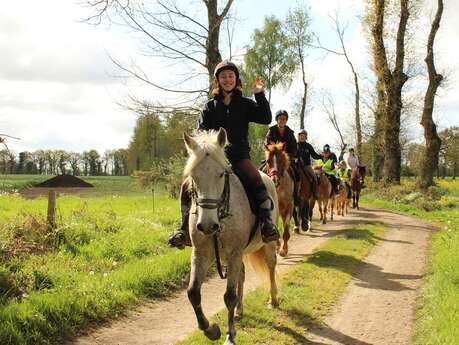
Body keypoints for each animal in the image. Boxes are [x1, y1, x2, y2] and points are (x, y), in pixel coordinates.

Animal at [184, 128, 278, 344]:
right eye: (194, 176)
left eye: (221, 174)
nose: (207, 226)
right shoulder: (201, 253)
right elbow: (193, 293)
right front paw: (210, 330)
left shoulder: (234, 252)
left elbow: (229, 296)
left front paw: (230, 335)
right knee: (242, 274)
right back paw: (239, 311)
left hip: (266, 245)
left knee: (270, 266)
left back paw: (273, 300)